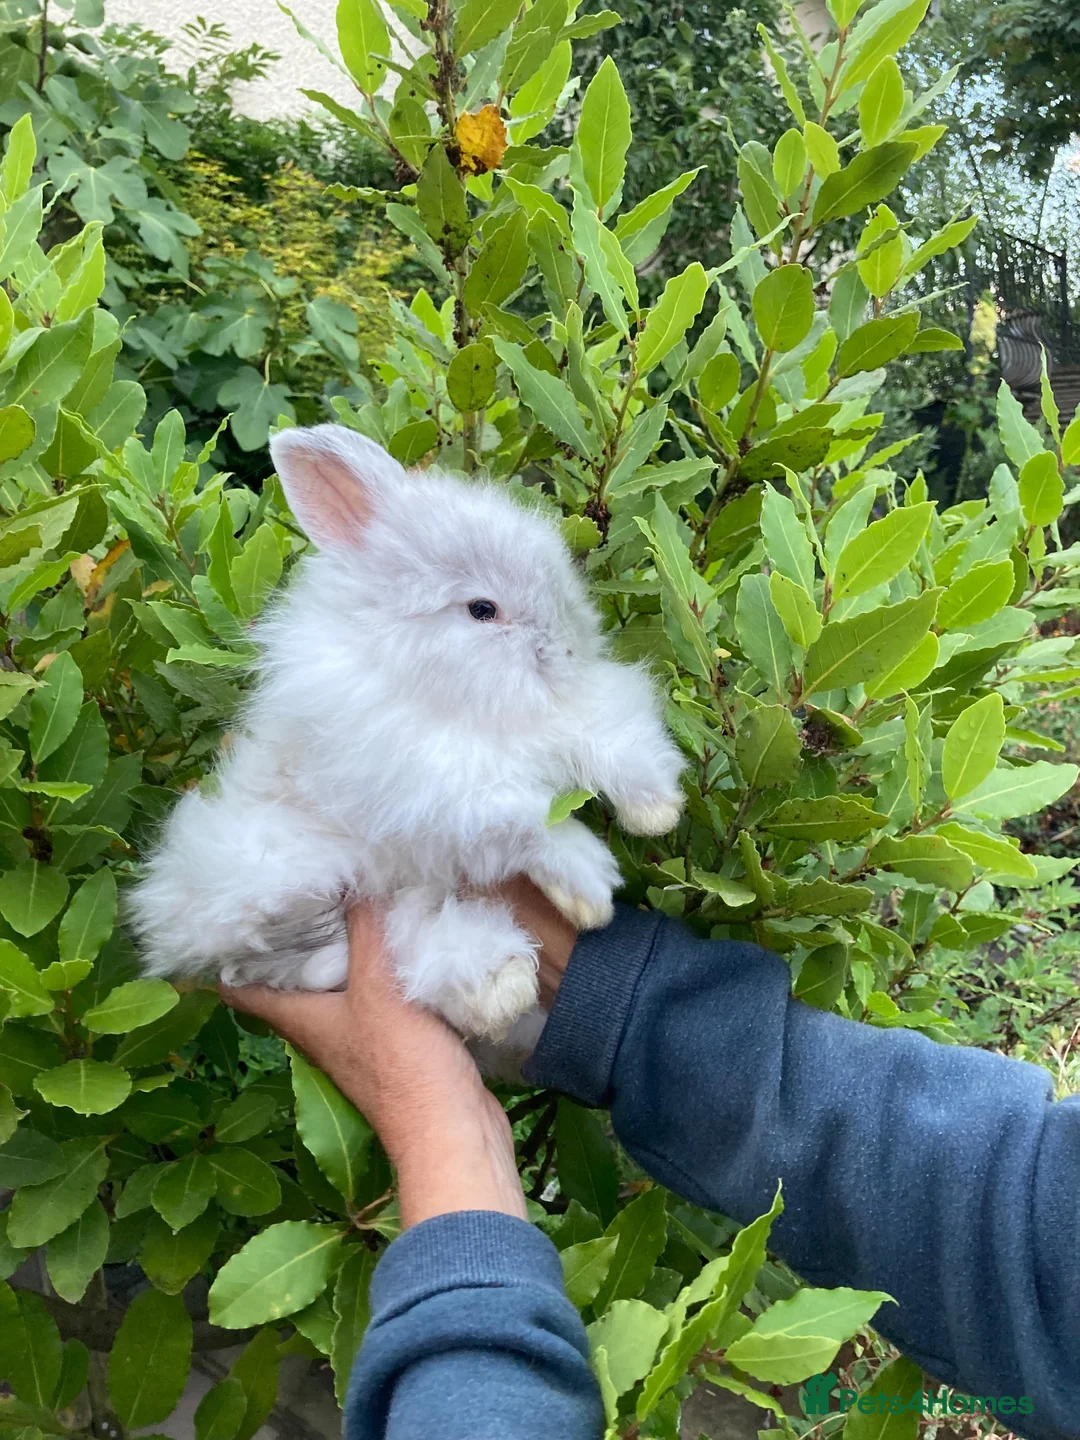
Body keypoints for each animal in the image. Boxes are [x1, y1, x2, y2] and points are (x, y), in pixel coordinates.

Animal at [129, 424, 685, 1038]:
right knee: (324, 950)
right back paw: (483, 982)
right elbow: (531, 824)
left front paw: (658, 813)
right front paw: (591, 887)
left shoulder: (581, 717)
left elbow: (614, 741)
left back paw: (498, 990)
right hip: (261, 875)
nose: (564, 650)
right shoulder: (442, 797)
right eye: (482, 609)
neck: (456, 701)